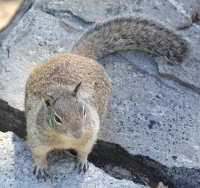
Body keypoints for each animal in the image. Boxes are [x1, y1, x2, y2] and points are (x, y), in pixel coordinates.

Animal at [25, 15, 189, 179]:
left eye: (83, 111)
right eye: (57, 119)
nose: (78, 134)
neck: (65, 139)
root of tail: (77, 56)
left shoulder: (90, 134)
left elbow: (84, 150)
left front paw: (82, 161)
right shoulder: (35, 137)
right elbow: (38, 154)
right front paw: (41, 167)